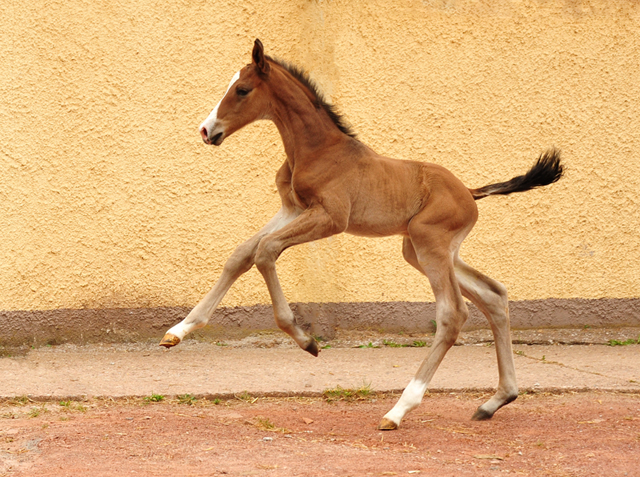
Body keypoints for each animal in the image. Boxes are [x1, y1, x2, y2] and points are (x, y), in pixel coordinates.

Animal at [161, 39, 564, 430]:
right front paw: (179, 330)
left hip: (430, 245)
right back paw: (495, 401)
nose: (207, 131)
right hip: (421, 250)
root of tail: (470, 191)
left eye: (242, 90)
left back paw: (399, 410)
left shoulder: (330, 218)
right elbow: (242, 253)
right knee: (494, 295)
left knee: (453, 314)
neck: (317, 150)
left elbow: (266, 250)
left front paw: (306, 340)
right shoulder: (292, 209)